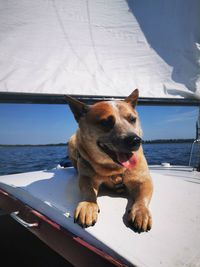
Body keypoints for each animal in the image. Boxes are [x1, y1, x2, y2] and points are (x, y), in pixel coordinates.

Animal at [65, 89, 153, 232]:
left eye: (132, 119)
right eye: (106, 122)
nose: (135, 140)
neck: (113, 168)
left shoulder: (143, 180)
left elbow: (142, 197)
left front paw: (141, 212)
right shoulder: (86, 177)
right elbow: (88, 190)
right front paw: (88, 206)